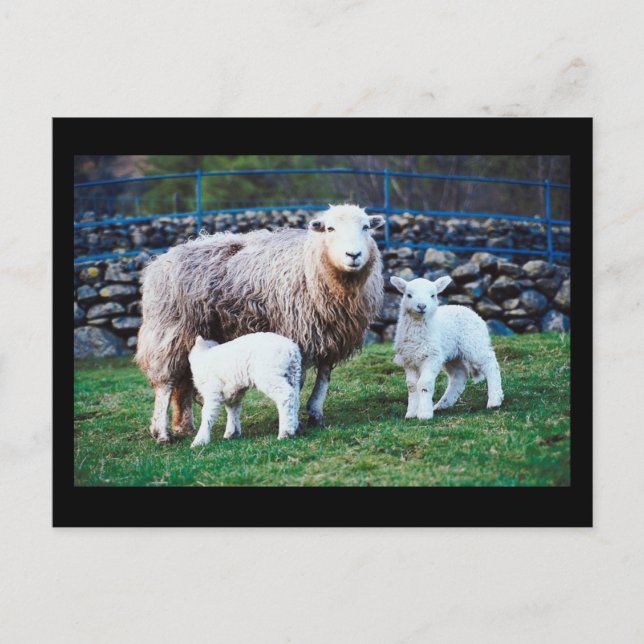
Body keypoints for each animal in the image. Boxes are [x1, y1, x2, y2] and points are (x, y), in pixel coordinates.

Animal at [135, 204, 385, 443]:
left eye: (366, 227)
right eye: (330, 228)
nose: (353, 254)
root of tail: (160, 260)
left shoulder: (330, 336)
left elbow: (324, 377)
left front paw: (315, 414)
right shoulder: (297, 332)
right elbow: (297, 382)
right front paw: (295, 422)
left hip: (193, 334)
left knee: (183, 382)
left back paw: (184, 426)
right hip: (169, 330)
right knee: (165, 382)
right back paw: (162, 432)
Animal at [390, 275, 504, 420]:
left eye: (433, 295)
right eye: (408, 295)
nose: (421, 306)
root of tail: (467, 309)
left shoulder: (432, 356)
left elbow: (424, 384)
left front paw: (424, 414)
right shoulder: (409, 359)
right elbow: (412, 386)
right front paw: (411, 413)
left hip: (474, 342)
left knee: (490, 364)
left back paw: (495, 400)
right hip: (452, 354)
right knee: (459, 375)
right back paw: (443, 404)